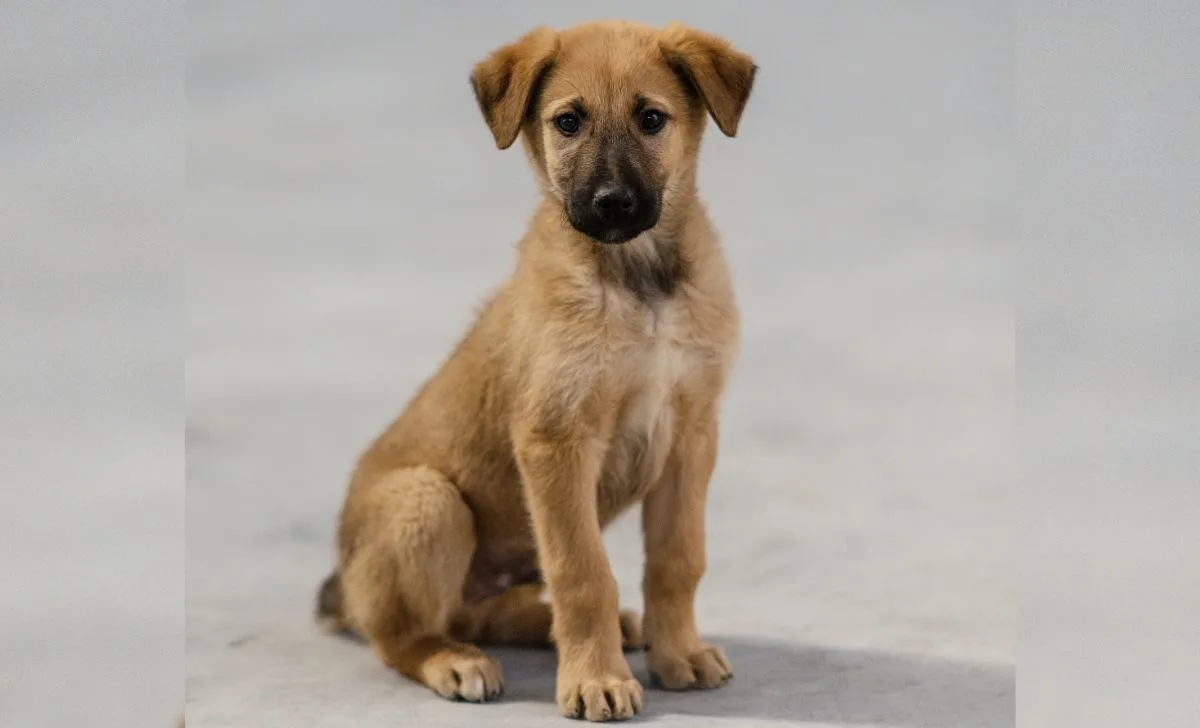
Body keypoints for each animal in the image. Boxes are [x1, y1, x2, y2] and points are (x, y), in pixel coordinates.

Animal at [314, 19, 753, 719]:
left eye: (652, 119)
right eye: (568, 121)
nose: (611, 203)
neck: (637, 284)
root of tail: (344, 586)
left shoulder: (691, 433)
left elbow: (677, 559)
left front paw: (678, 653)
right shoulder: (557, 440)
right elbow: (582, 572)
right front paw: (596, 680)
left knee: (481, 612)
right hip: (427, 501)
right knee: (402, 634)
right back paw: (453, 661)